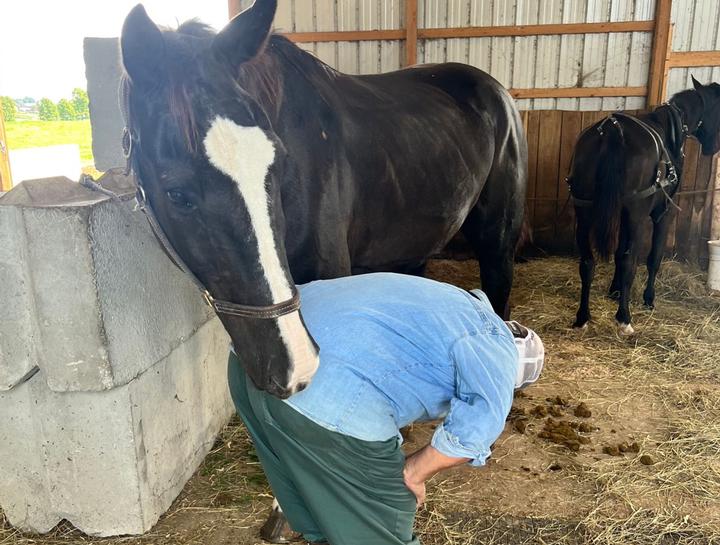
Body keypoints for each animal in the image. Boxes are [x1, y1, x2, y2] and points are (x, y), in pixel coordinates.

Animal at [568, 76, 720, 332]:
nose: (713, 147)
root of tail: (613, 131)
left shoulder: (621, 214)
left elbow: (618, 252)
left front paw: (615, 291)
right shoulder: (662, 213)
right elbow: (652, 258)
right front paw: (648, 299)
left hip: (584, 210)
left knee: (588, 262)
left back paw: (582, 317)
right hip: (636, 215)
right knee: (631, 260)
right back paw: (624, 318)